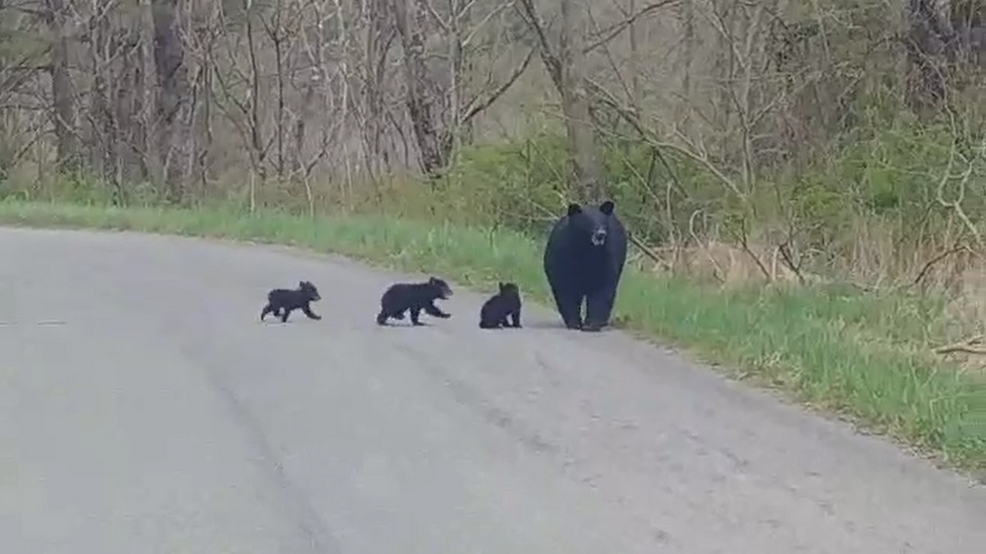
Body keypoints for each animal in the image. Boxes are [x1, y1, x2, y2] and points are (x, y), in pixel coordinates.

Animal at [542, 199, 627, 332]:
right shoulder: (563, 259)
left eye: (603, 222)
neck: (587, 251)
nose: (601, 234)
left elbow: (602, 290)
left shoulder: (605, 260)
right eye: (588, 222)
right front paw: (574, 323)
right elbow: (566, 290)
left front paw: (592, 324)